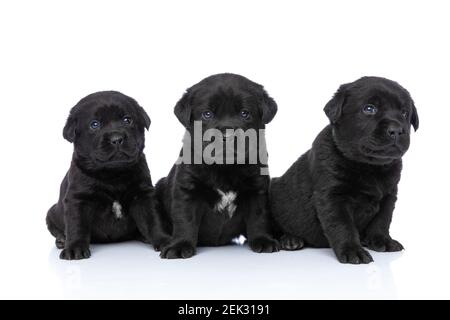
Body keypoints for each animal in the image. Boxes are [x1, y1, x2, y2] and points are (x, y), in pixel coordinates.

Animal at [46, 90, 168, 260]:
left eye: (127, 120)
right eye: (94, 124)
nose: (116, 139)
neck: (113, 174)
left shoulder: (143, 195)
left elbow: (153, 220)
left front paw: (164, 240)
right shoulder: (78, 199)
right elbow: (77, 225)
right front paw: (75, 248)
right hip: (51, 213)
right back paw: (62, 240)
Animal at [156, 74, 280, 258]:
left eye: (245, 113)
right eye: (207, 114)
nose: (227, 135)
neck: (224, 167)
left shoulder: (257, 189)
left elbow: (259, 217)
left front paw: (263, 240)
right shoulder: (187, 189)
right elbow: (185, 219)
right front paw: (179, 245)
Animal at [268, 76, 420, 264]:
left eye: (404, 113)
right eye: (369, 109)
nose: (397, 130)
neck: (370, 167)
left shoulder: (389, 196)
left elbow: (382, 221)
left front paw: (383, 241)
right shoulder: (333, 198)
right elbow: (343, 226)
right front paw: (353, 250)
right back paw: (290, 240)